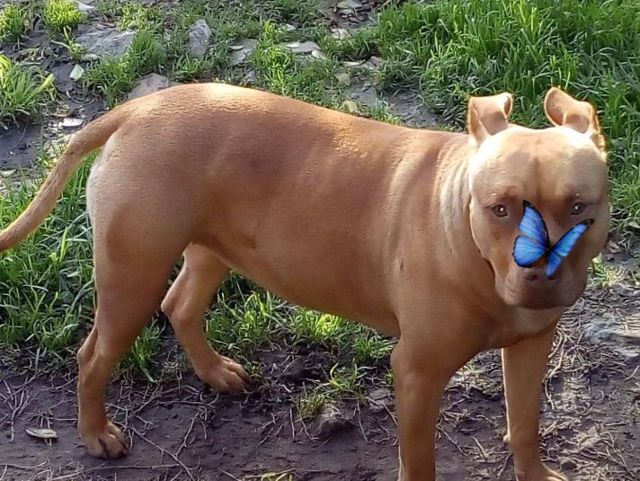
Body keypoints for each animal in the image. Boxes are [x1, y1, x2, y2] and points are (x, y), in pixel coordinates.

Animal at [0, 84, 609, 480]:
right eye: (499, 208)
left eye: (580, 207)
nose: (538, 274)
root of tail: (136, 108)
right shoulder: (417, 372)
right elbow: (419, 460)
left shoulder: (531, 345)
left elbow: (525, 425)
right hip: (132, 276)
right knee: (94, 356)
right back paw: (96, 434)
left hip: (208, 253)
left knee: (181, 306)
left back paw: (216, 373)